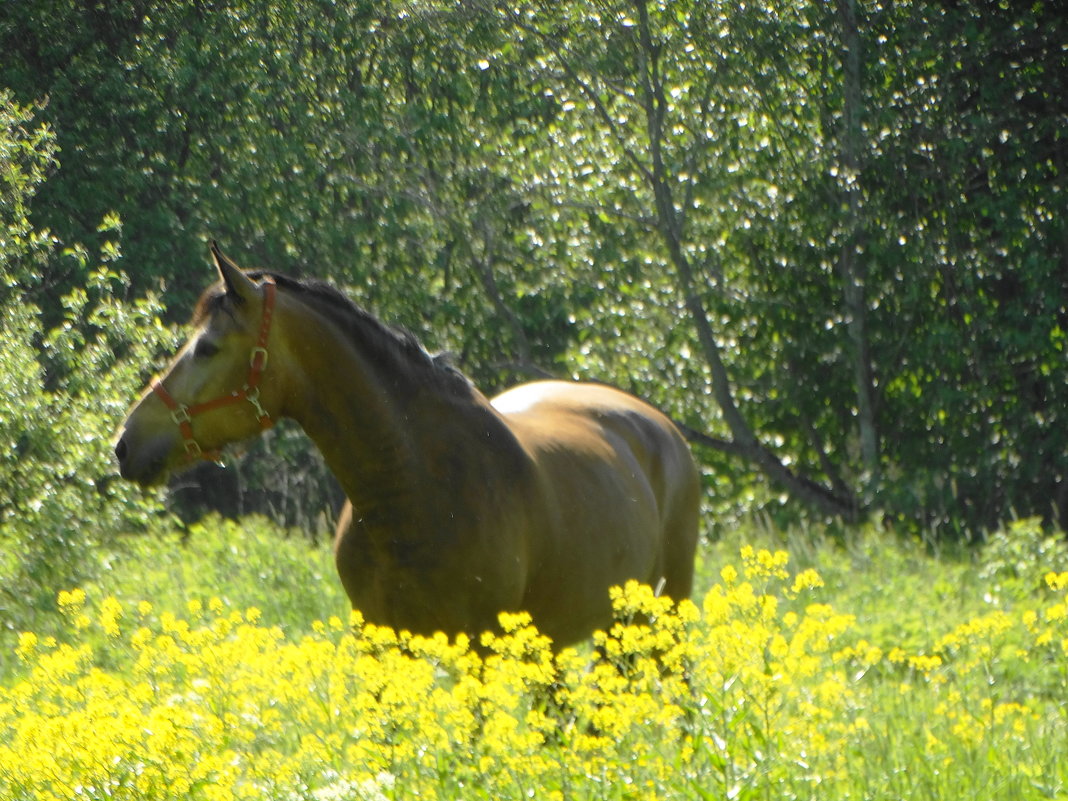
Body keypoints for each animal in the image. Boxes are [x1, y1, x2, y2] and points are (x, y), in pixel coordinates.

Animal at [116, 243, 700, 645]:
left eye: (208, 348)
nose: (125, 443)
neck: (412, 484)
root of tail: (661, 426)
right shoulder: (383, 645)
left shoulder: (479, 649)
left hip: (657, 616)